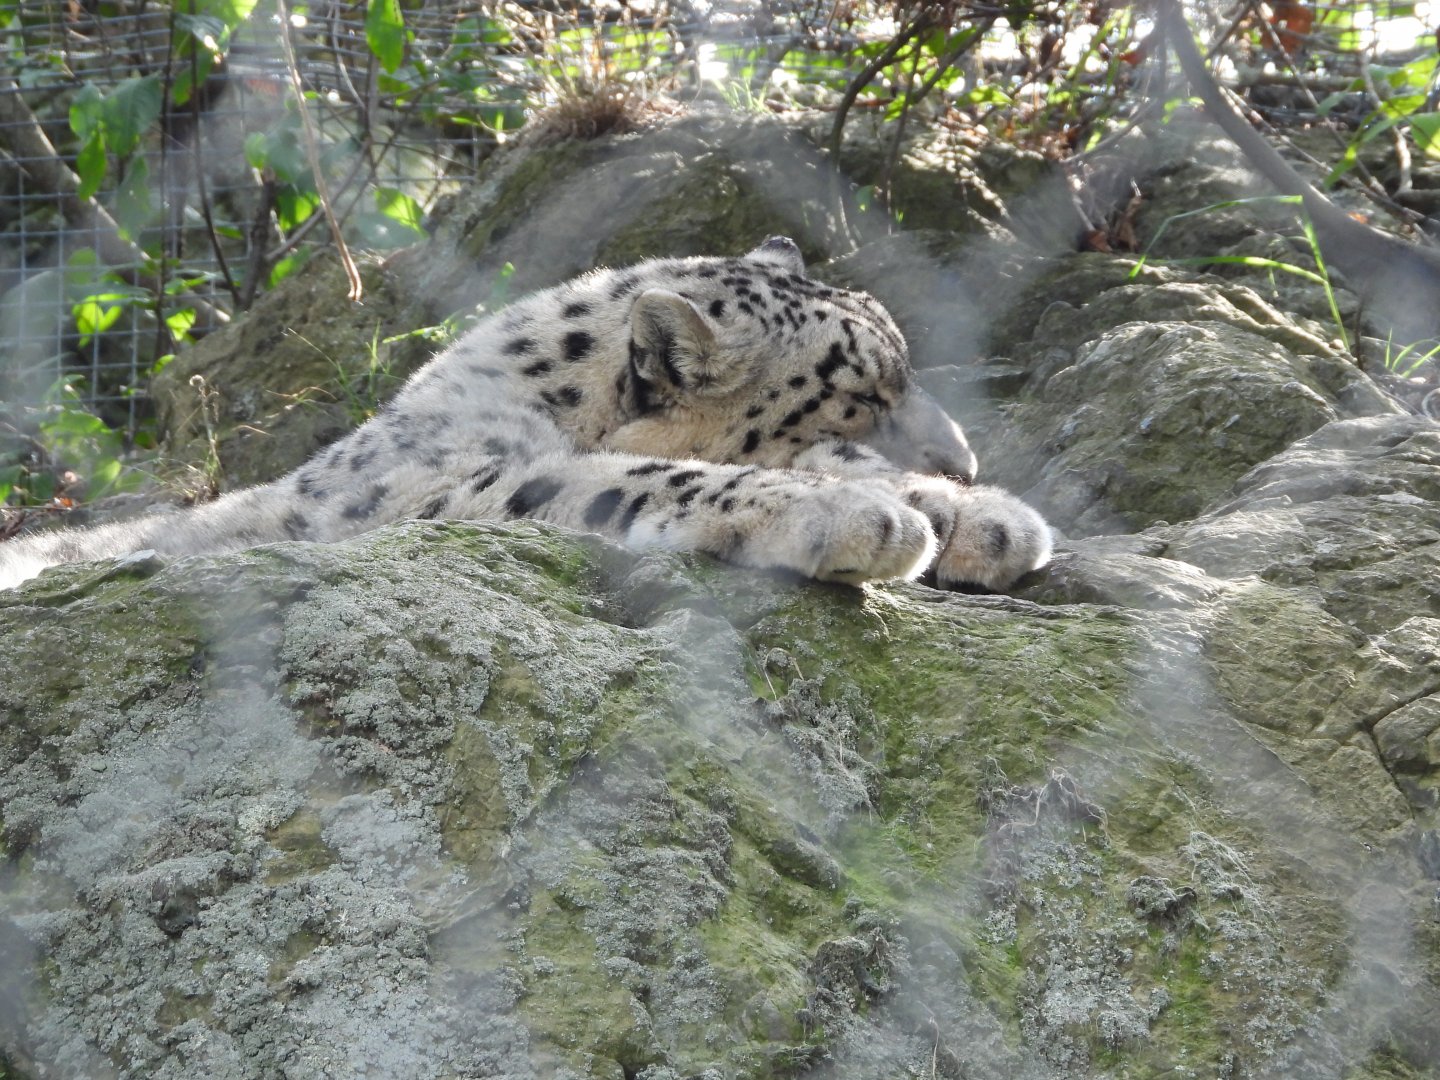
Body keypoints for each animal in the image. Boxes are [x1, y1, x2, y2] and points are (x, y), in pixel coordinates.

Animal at [0, 237, 1052, 593]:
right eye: (860, 396)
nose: (964, 463)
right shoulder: (424, 492)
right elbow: (619, 477)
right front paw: (856, 516)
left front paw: (989, 521)